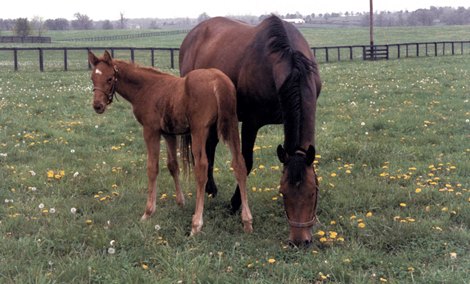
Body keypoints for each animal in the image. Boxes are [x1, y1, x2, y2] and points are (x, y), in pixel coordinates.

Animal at [86, 50, 252, 235]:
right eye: (93, 78)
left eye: (109, 78)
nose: (97, 106)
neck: (148, 88)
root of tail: (218, 81)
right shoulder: (169, 134)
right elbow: (173, 165)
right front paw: (181, 202)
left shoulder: (151, 131)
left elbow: (152, 168)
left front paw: (148, 212)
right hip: (231, 125)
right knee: (239, 164)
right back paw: (247, 221)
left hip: (199, 130)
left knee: (201, 167)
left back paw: (196, 224)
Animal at [178, 15, 322, 246]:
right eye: (283, 192)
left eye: (313, 192)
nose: (299, 241)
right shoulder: (251, 122)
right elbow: (246, 163)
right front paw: (235, 204)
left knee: (211, 146)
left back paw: (211, 189)